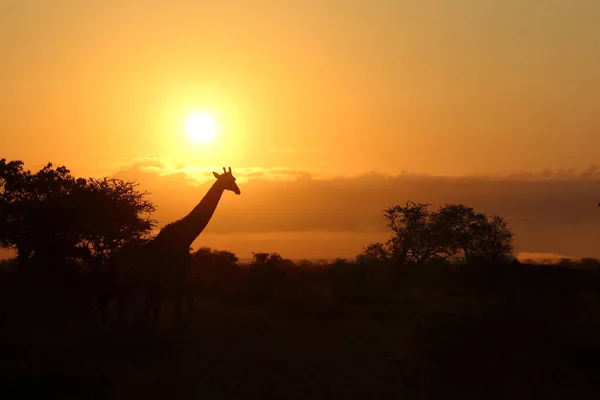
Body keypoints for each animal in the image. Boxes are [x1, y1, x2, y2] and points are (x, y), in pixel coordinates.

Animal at [115, 167, 241, 324]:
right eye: (230, 180)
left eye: (234, 178)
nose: (238, 190)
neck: (186, 237)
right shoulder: (179, 271)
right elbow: (179, 303)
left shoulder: (178, 274)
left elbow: (180, 301)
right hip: (133, 281)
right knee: (128, 304)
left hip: (138, 281)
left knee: (131, 305)